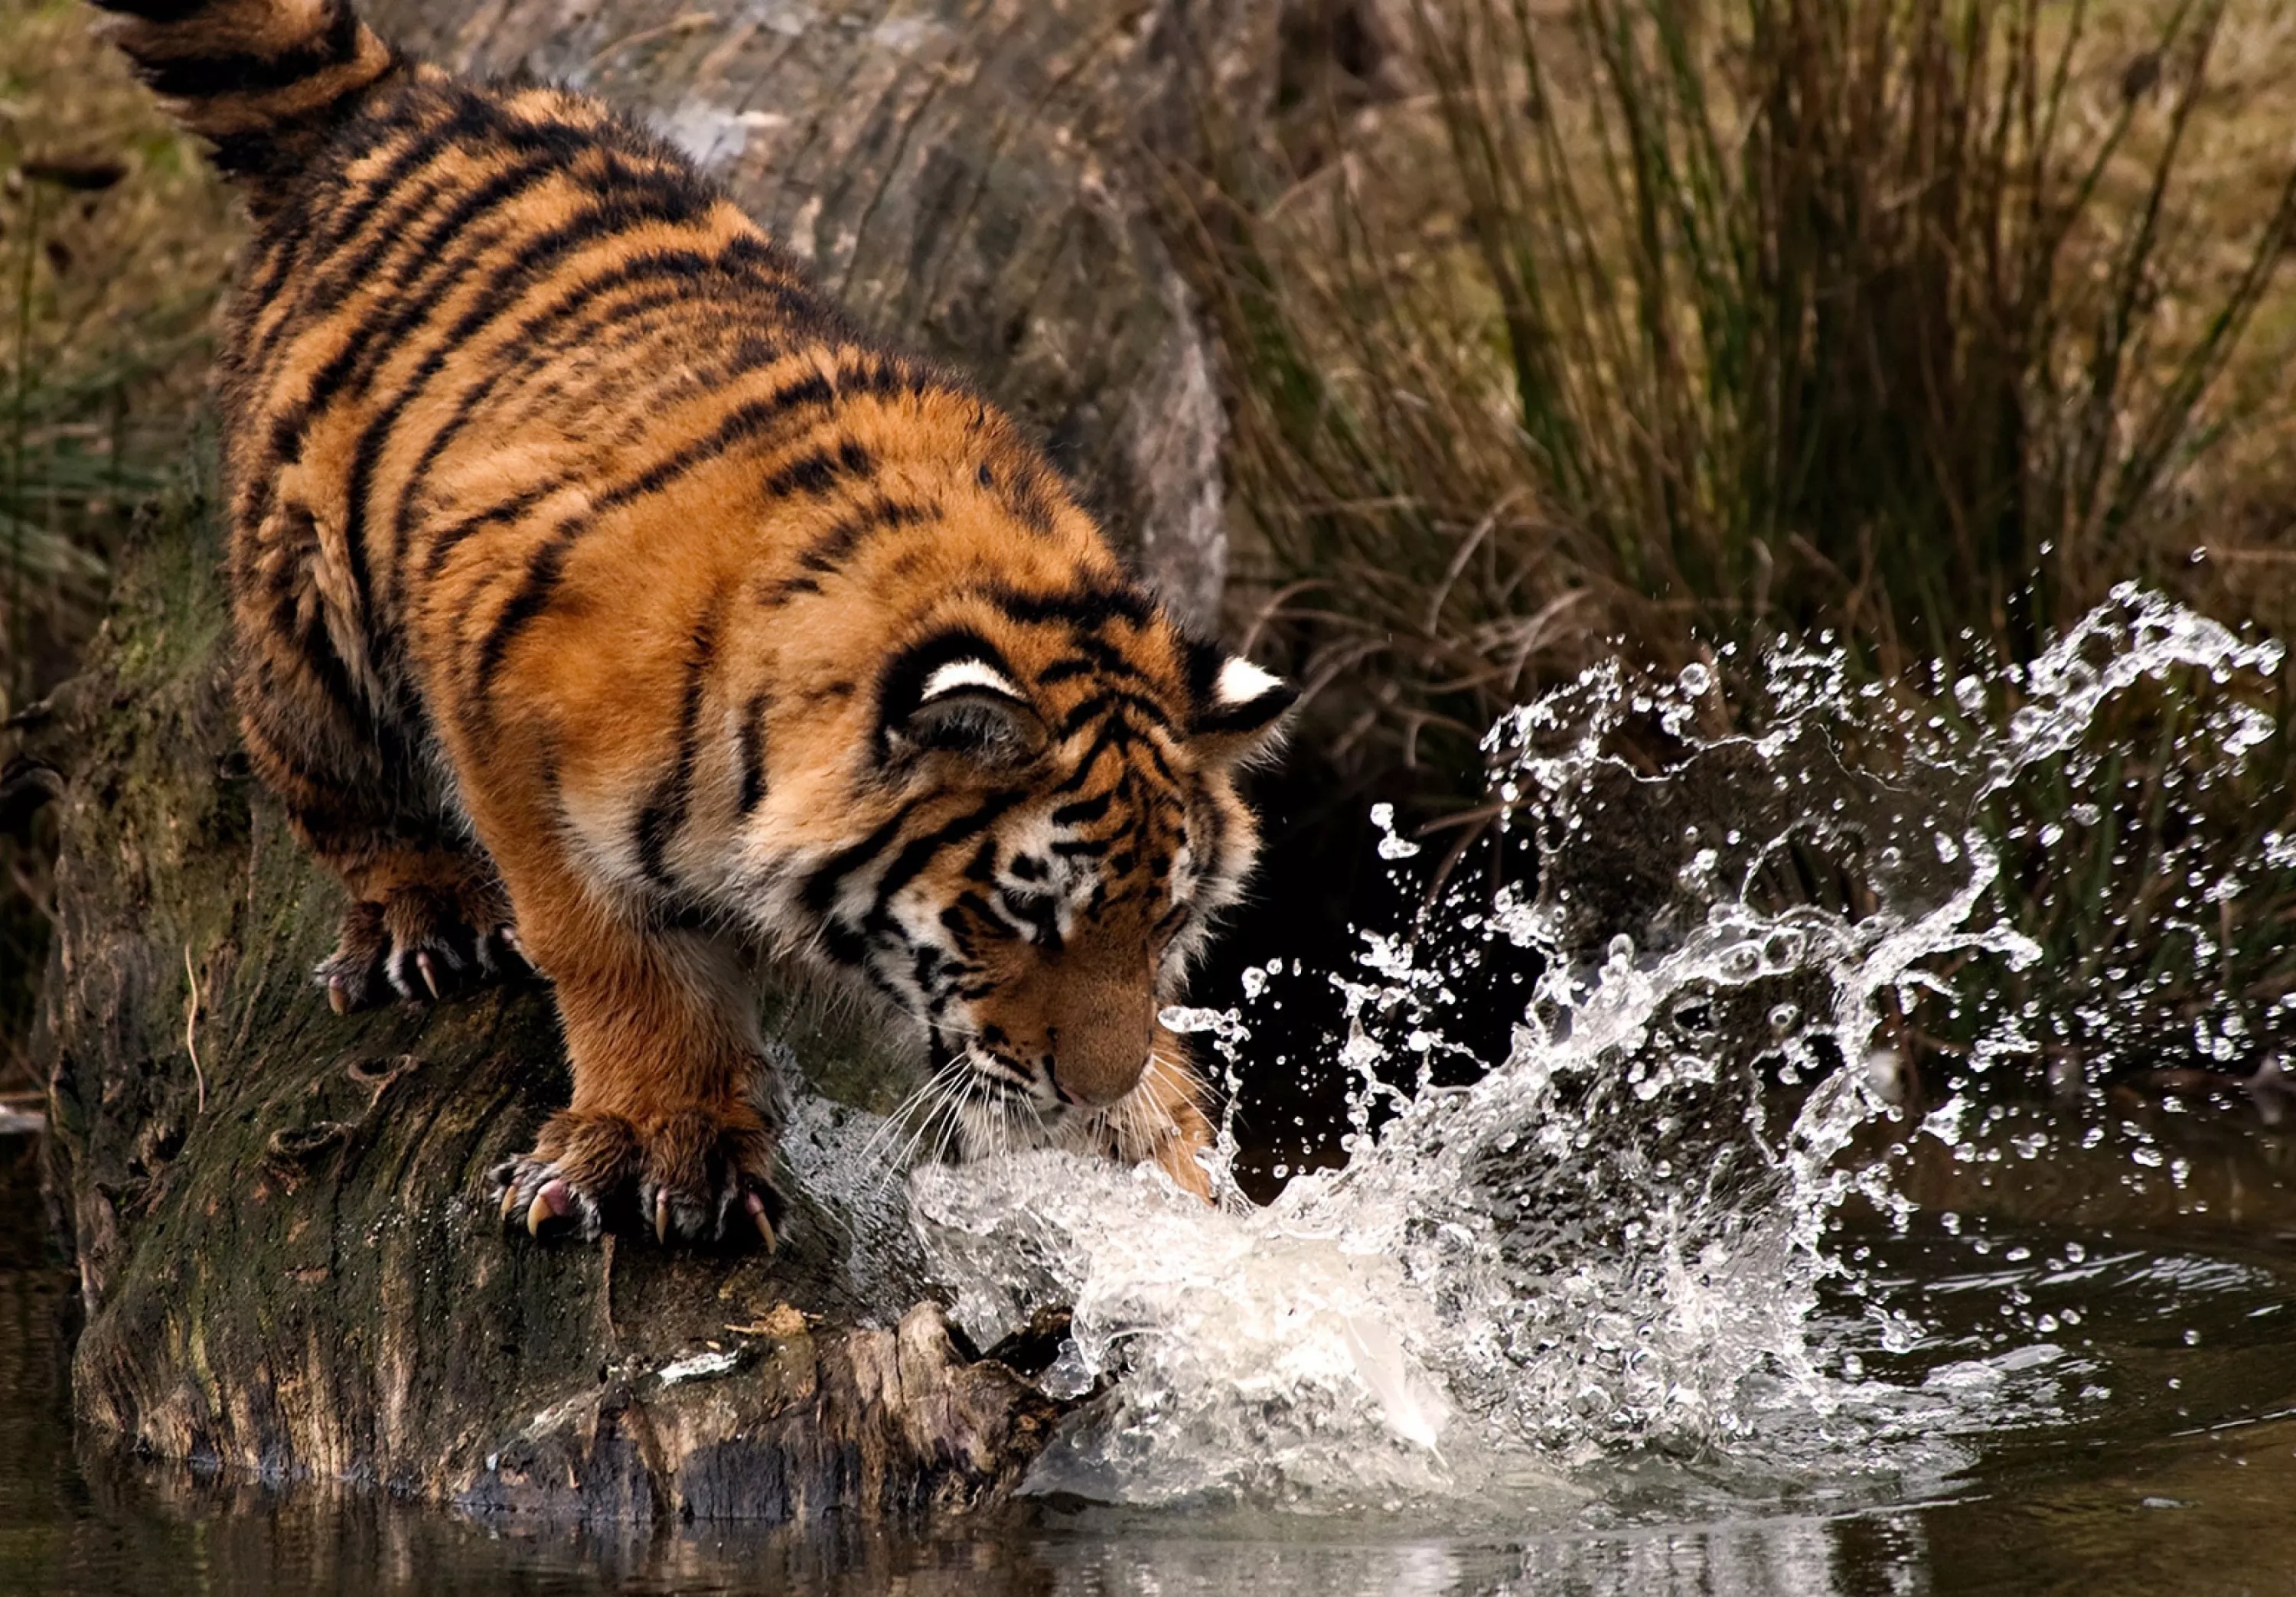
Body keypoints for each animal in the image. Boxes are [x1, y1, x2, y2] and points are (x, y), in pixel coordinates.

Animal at [92, 0, 1293, 1247]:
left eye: (1163, 922)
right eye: (1026, 914)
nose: (1093, 1088)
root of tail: (406, 90)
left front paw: (1172, 1160)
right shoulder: (506, 704)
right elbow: (616, 954)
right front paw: (659, 1141)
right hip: (311, 606)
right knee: (320, 767)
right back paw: (424, 917)